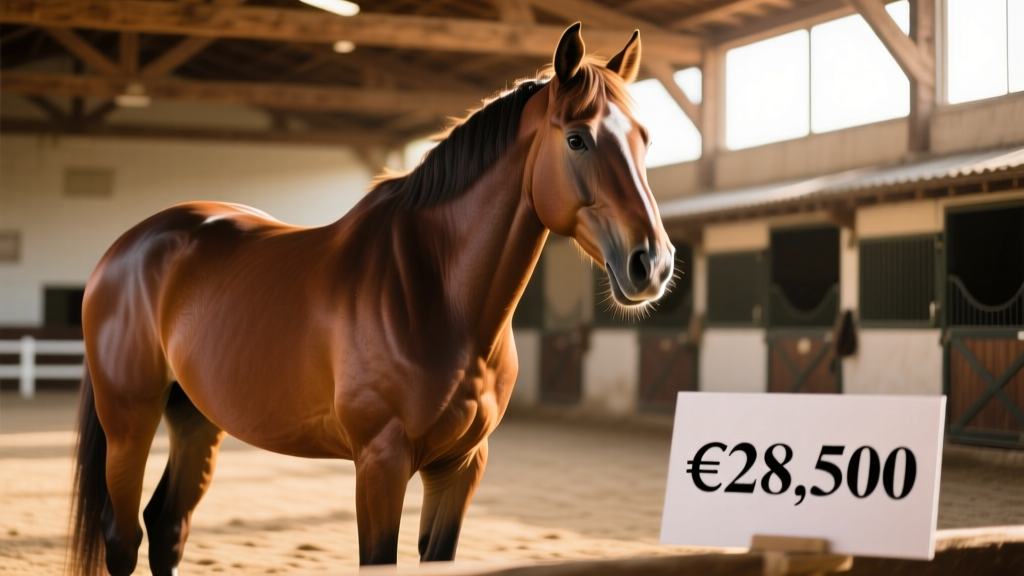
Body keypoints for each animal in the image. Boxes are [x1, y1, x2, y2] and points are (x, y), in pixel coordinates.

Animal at [69, 23, 675, 575]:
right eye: (577, 138)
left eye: (646, 139)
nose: (652, 263)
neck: (438, 295)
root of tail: (125, 248)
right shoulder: (380, 463)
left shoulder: (461, 465)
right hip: (130, 420)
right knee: (123, 536)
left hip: (195, 418)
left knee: (167, 525)